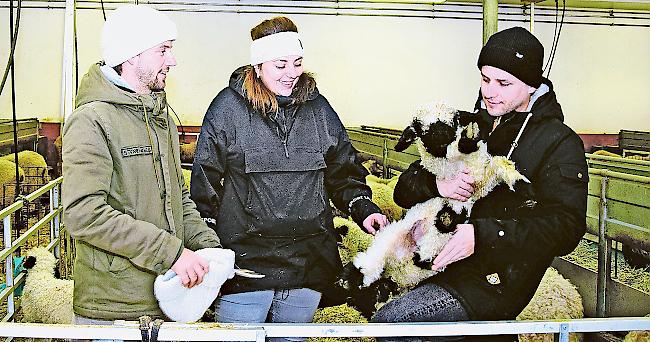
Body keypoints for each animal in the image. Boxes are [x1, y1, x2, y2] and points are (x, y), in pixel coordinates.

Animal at [350, 101, 528, 286]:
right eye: (422, 130)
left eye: (454, 121)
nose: (442, 143)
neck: (456, 163)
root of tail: (400, 263)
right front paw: (469, 137)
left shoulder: (479, 184)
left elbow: (499, 165)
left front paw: (519, 182)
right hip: (387, 240)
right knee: (368, 264)